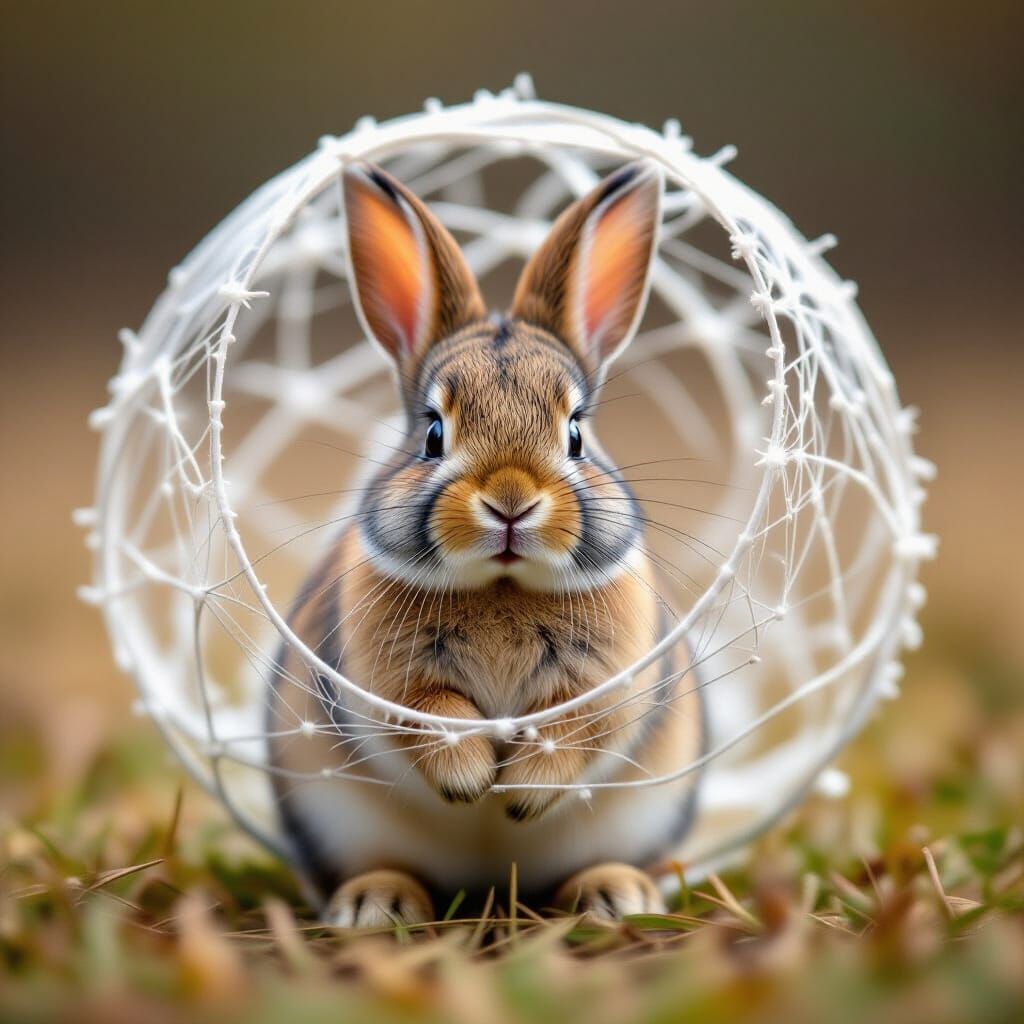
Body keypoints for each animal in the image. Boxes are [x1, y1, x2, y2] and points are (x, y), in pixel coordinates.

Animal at [266, 159, 705, 927]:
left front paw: (518, 795)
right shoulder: (394, 683)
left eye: (577, 433)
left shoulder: (601, 688)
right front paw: (474, 785)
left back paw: (617, 895)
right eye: (432, 432)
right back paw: (375, 903)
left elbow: (570, 732)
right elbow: (437, 720)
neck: (503, 583)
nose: (510, 501)